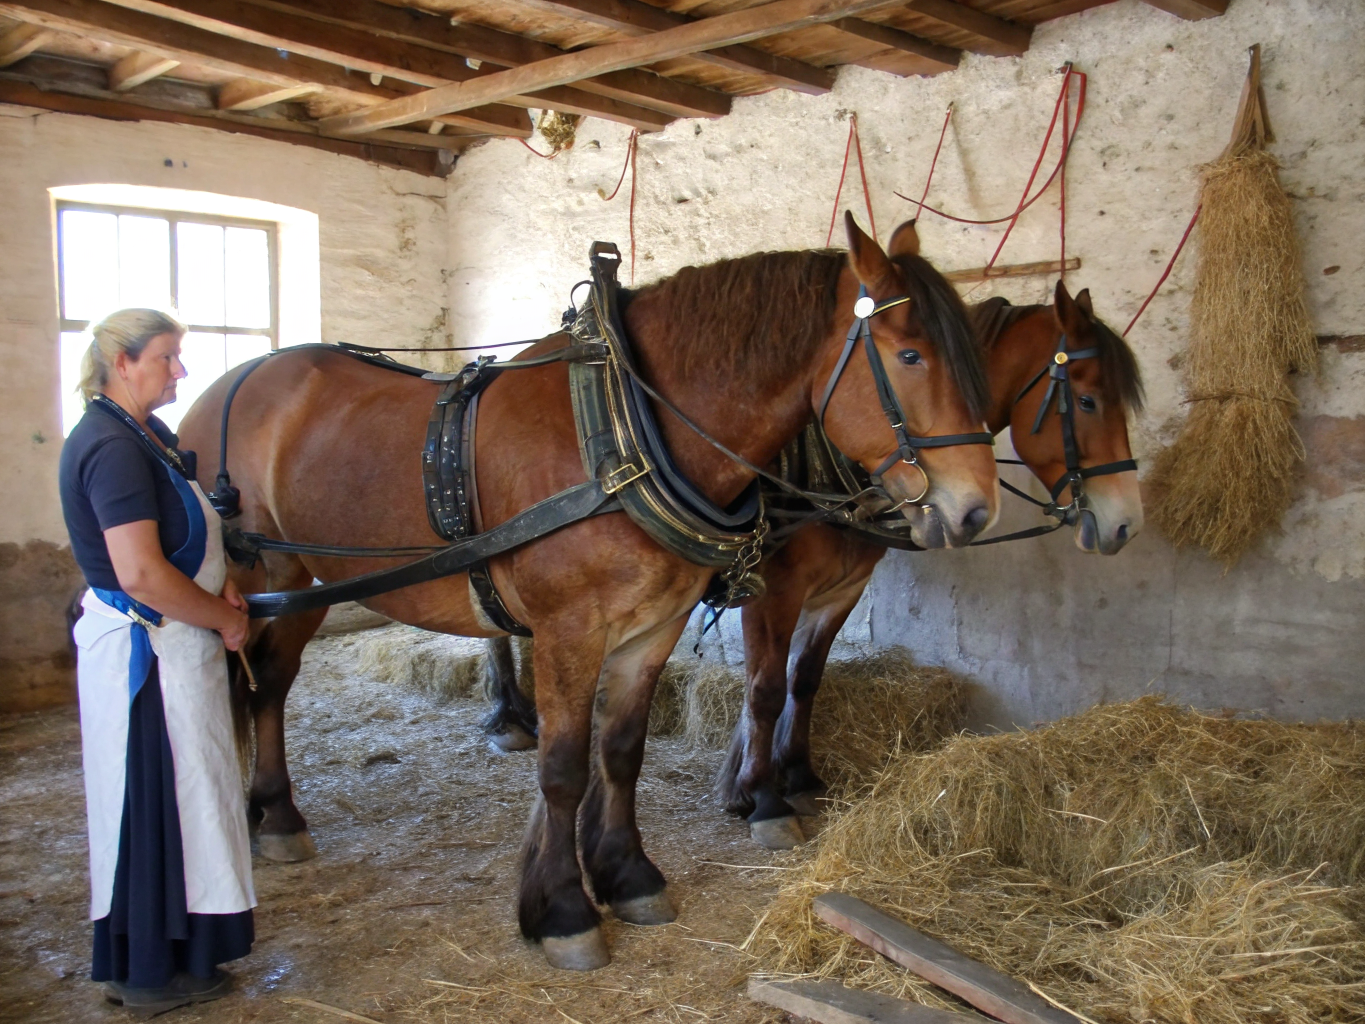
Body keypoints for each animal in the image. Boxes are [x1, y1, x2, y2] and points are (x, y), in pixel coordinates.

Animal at [176, 215, 999, 970]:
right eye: (910, 354)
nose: (974, 509)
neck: (625, 438)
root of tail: (223, 385)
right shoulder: (570, 630)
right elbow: (566, 767)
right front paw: (565, 910)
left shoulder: (653, 626)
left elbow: (622, 750)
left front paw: (629, 876)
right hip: (256, 580)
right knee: (247, 683)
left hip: (306, 579)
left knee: (271, 683)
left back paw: (276, 814)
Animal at [480, 280, 1145, 850]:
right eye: (1088, 399)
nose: (1125, 524)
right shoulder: (773, 590)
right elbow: (765, 688)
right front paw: (757, 795)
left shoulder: (840, 590)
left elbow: (803, 680)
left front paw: (795, 776)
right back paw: (509, 716)